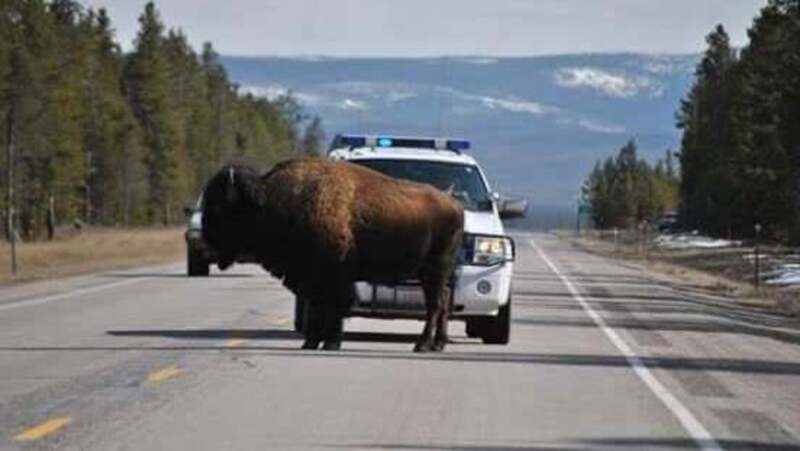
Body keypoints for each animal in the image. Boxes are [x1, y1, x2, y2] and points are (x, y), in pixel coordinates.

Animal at [202, 159, 462, 354]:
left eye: (219, 207)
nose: (206, 242)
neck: (271, 201)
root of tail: (455, 204)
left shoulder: (333, 277)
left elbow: (334, 307)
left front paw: (330, 343)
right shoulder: (310, 277)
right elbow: (318, 308)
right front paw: (309, 343)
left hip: (434, 269)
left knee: (435, 305)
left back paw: (422, 345)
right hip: (432, 273)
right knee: (442, 302)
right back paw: (437, 345)